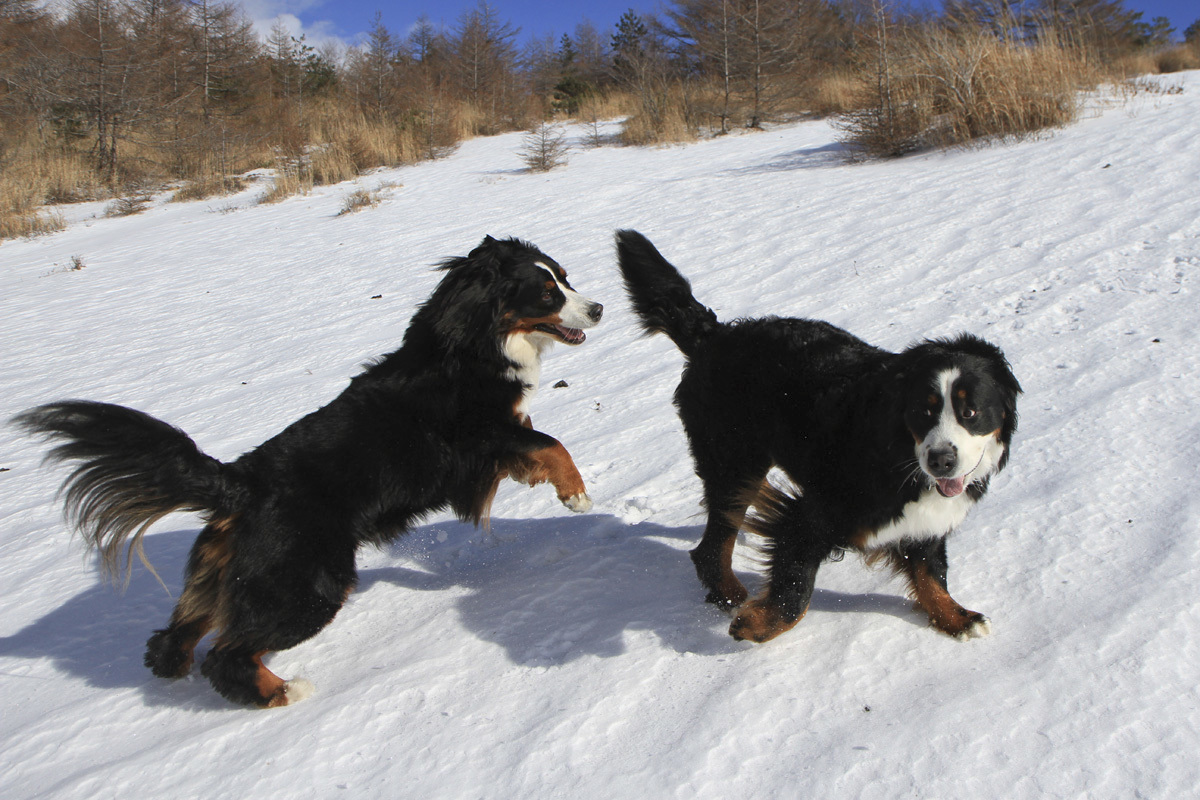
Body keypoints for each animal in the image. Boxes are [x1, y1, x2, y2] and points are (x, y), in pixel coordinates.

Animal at [11, 235, 600, 710]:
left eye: (564, 277)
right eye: (546, 293)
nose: (596, 307)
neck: (473, 342)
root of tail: (239, 482)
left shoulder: (499, 436)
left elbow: (534, 440)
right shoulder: (477, 435)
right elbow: (550, 443)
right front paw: (575, 493)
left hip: (231, 576)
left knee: (175, 637)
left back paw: (181, 670)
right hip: (307, 584)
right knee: (227, 653)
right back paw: (284, 692)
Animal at [619, 230, 1022, 642]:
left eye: (970, 412)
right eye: (922, 412)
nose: (940, 460)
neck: (900, 453)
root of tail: (716, 335)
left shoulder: (925, 522)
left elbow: (930, 571)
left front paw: (956, 616)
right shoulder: (812, 514)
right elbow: (795, 593)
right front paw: (755, 625)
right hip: (735, 463)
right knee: (713, 546)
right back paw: (730, 595)